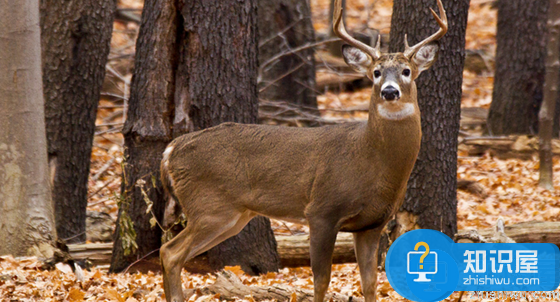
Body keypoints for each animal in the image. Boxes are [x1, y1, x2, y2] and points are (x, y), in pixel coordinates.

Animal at [160, 0, 448, 300]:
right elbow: (321, 280)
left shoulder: (372, 224)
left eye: (406, 71)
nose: (389, 92)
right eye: (376, 73)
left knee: (174, 254)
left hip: (233, 215)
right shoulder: (321, 210)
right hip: (210, 206)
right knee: (170, 252)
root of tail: (171, 149)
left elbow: (369, 282)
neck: (371, 159)